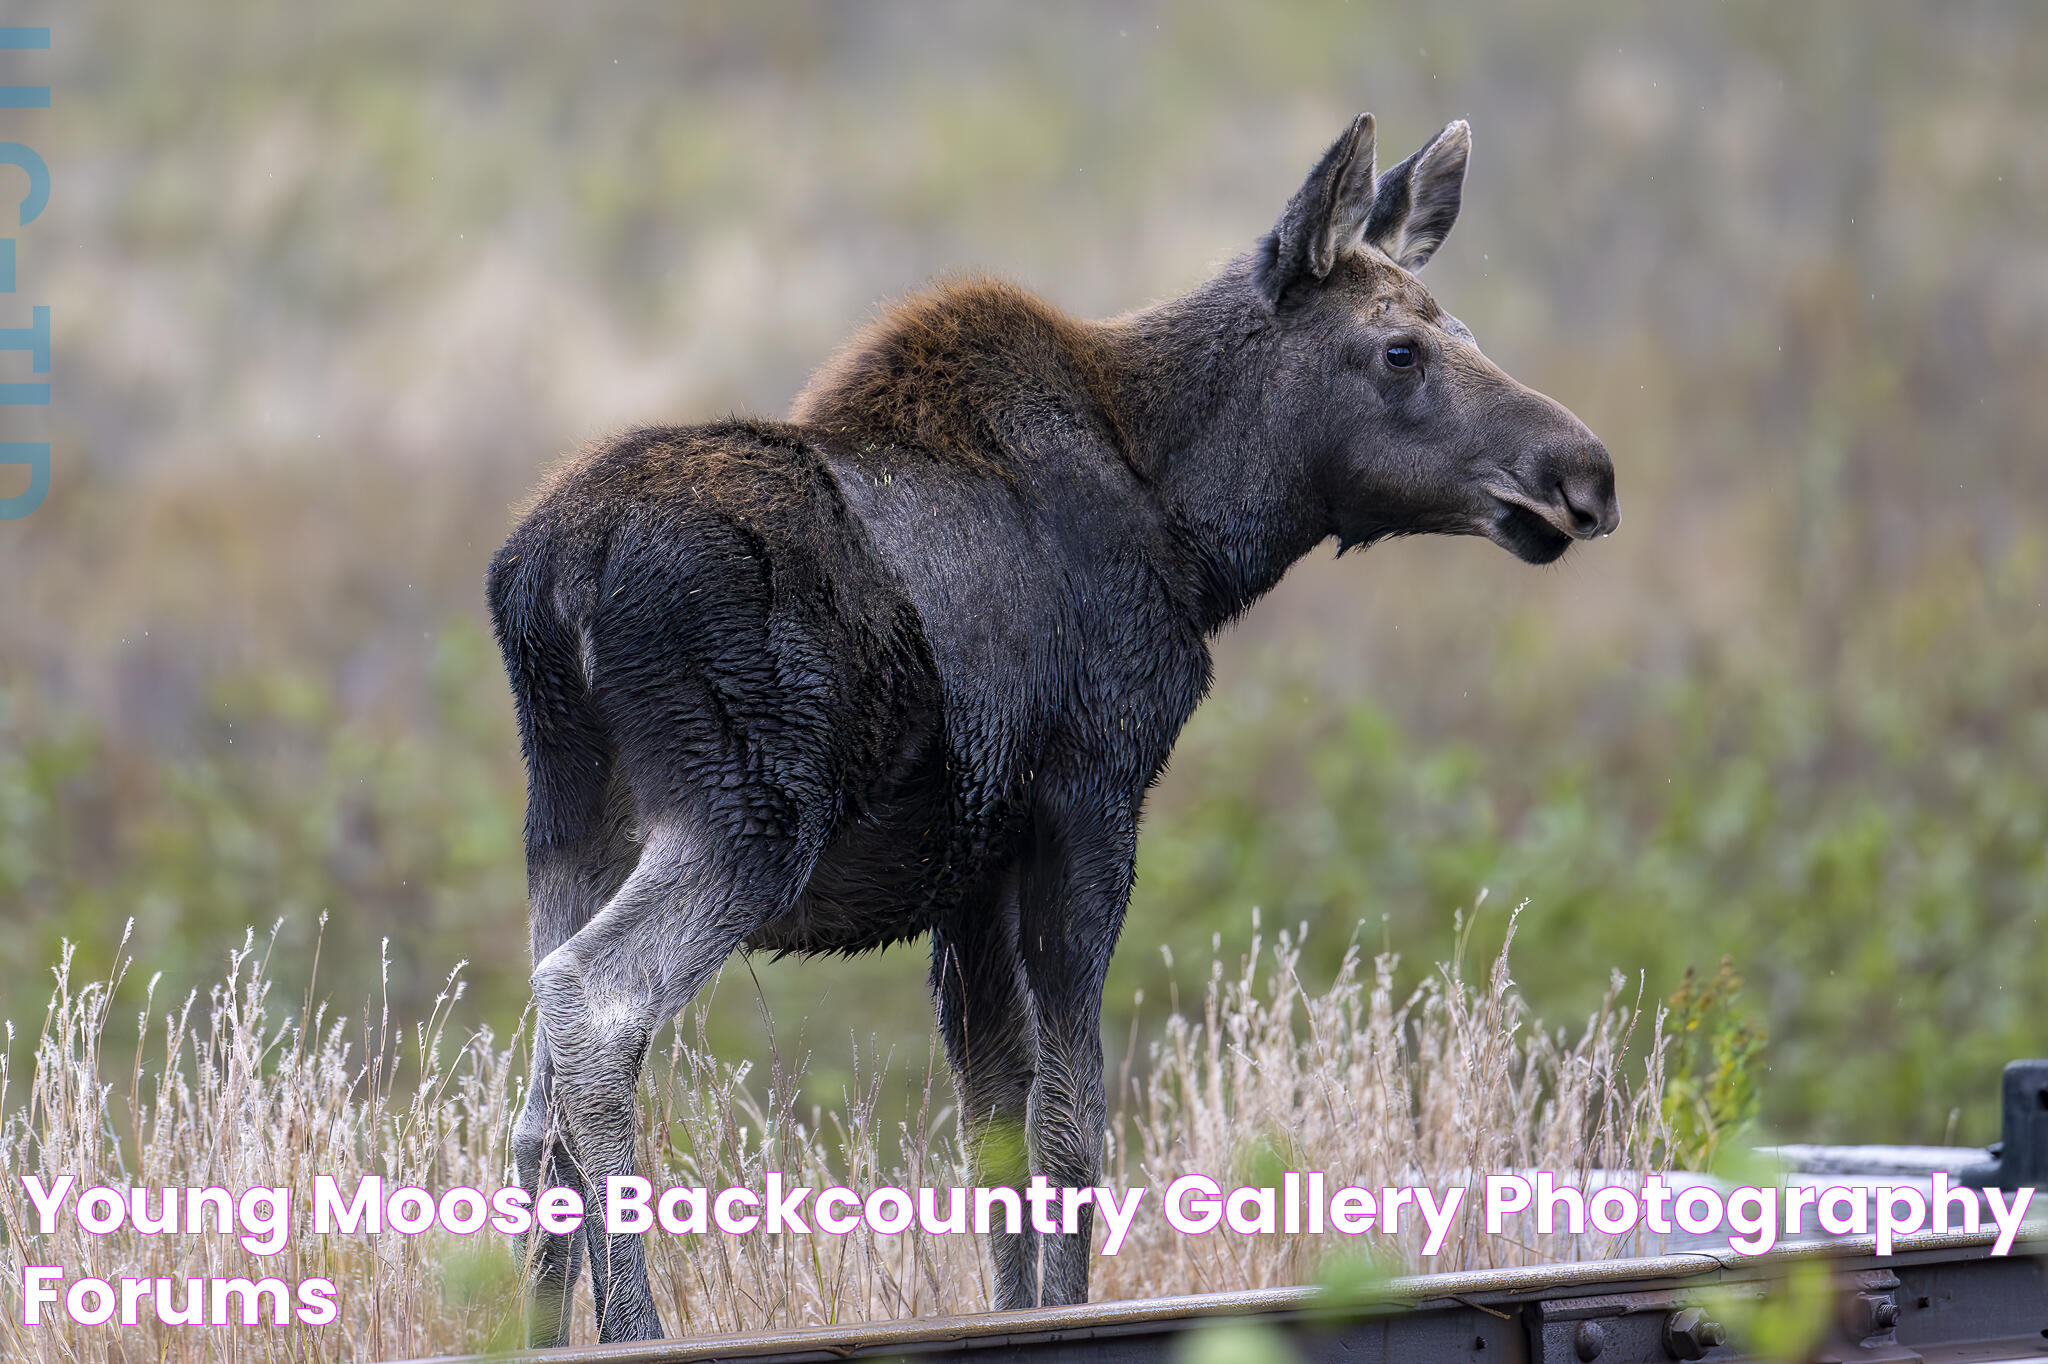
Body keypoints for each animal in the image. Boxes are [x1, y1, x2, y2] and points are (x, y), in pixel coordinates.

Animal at [491, 109, 1613, 1335]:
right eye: (1400, 350)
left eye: (1461, 329)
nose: (1584, 471)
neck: (1202, 532)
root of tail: (548, 577)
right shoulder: (1090, 798)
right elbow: (1071, 1129)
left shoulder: (970, 869)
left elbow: (992, 1129)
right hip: (745, 815)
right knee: (591, 1004)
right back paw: (634, 1327)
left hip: (570, 821)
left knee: (532, 1109)